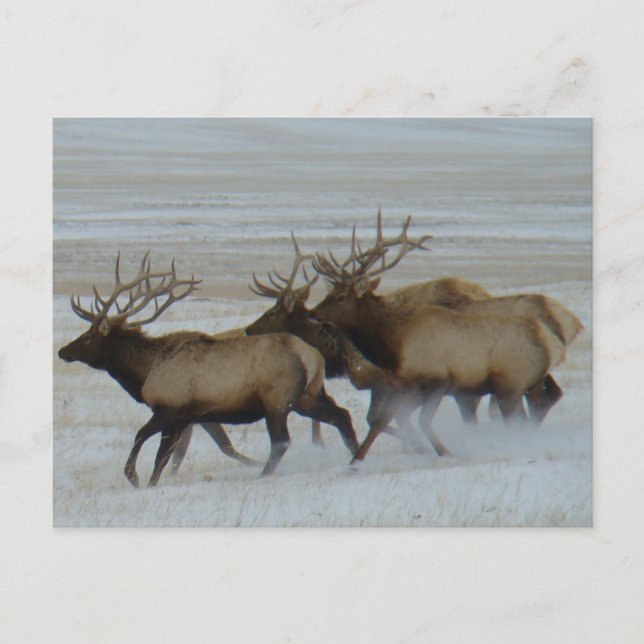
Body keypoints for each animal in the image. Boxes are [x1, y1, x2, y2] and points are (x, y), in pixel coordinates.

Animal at [58, 252, 358, 487]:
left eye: (88, 336)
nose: (63, 351)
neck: (144, 372)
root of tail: (313, 356)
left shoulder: (170, 409)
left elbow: (145, 440)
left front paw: (134, 477)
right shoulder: (185, 418)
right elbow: (164, 457)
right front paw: (149, 482)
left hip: (277, 400)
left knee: (282, 441)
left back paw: (262, 475)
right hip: (308, 396)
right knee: (341, 415)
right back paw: (355, 456)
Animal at [311, 218, 570, 462]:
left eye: (341, 296)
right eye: (329, 292)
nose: (313, 313)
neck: (393, 346)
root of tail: (553, 346)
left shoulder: (438, 380)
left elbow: (421, 421)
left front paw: (443, 451)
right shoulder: (403, 386)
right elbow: (382, 420)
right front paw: (355, 461)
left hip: (511, 385)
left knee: (525, 414)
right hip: (519, 386)